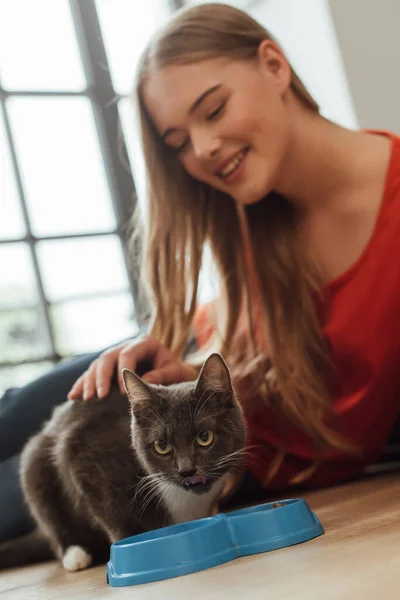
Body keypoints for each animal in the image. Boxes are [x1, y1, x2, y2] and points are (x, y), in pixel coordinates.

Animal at [0, 354, 245, 576]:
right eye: (161, 446)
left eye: (205, 437)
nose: (187, 470)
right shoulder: (84, 455)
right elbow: (112, 513)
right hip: (34, 465)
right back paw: (76, 555)